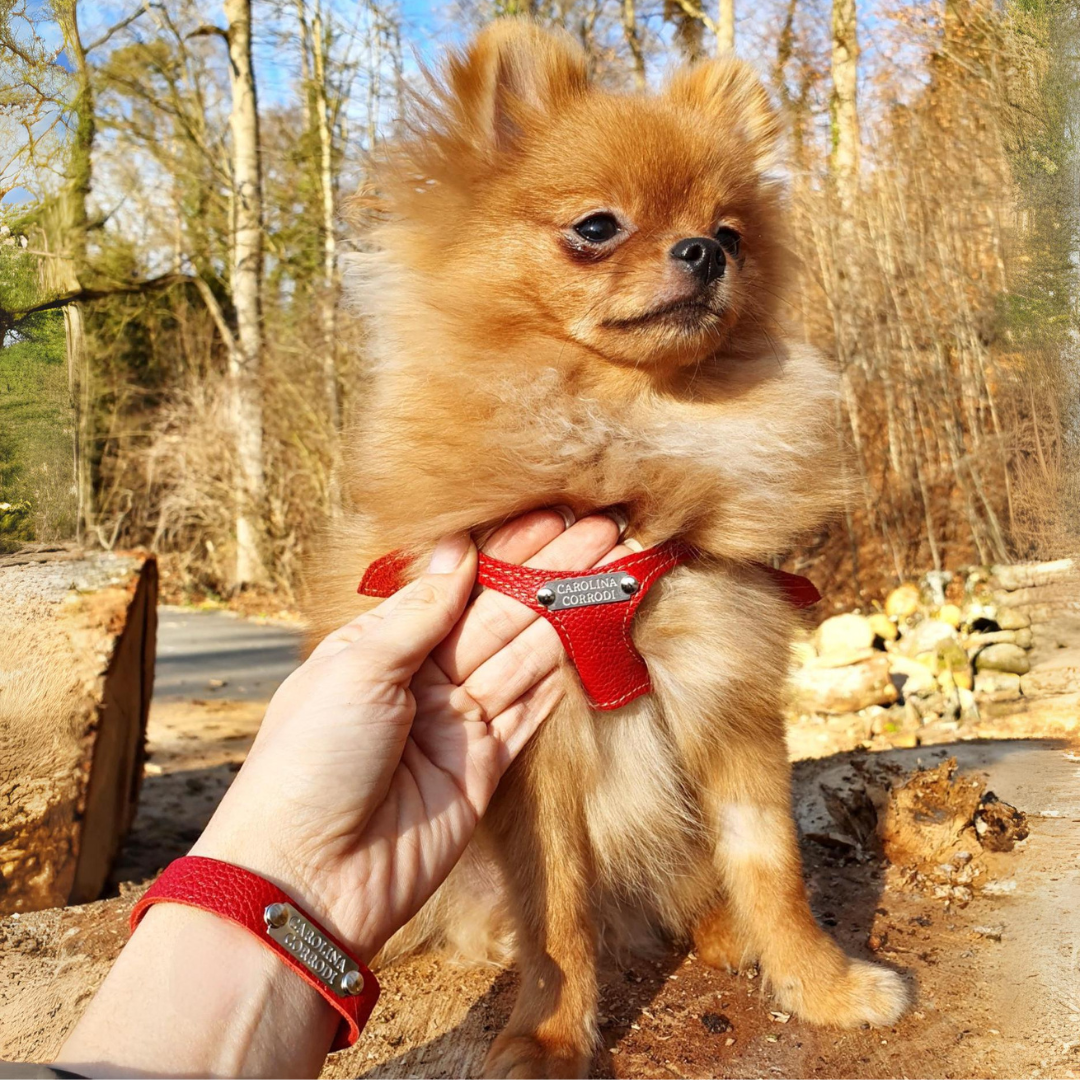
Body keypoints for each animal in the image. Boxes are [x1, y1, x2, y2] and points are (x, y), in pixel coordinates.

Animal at [306, 19, 911, 1080]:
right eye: (597, 227)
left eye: (733, 234)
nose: (704, 251)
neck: (632, 458)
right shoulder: (534, 752)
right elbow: (559, 914)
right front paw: (548, 1035)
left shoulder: (729, 703)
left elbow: (772, 868)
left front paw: (822, 984)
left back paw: (724, 933)